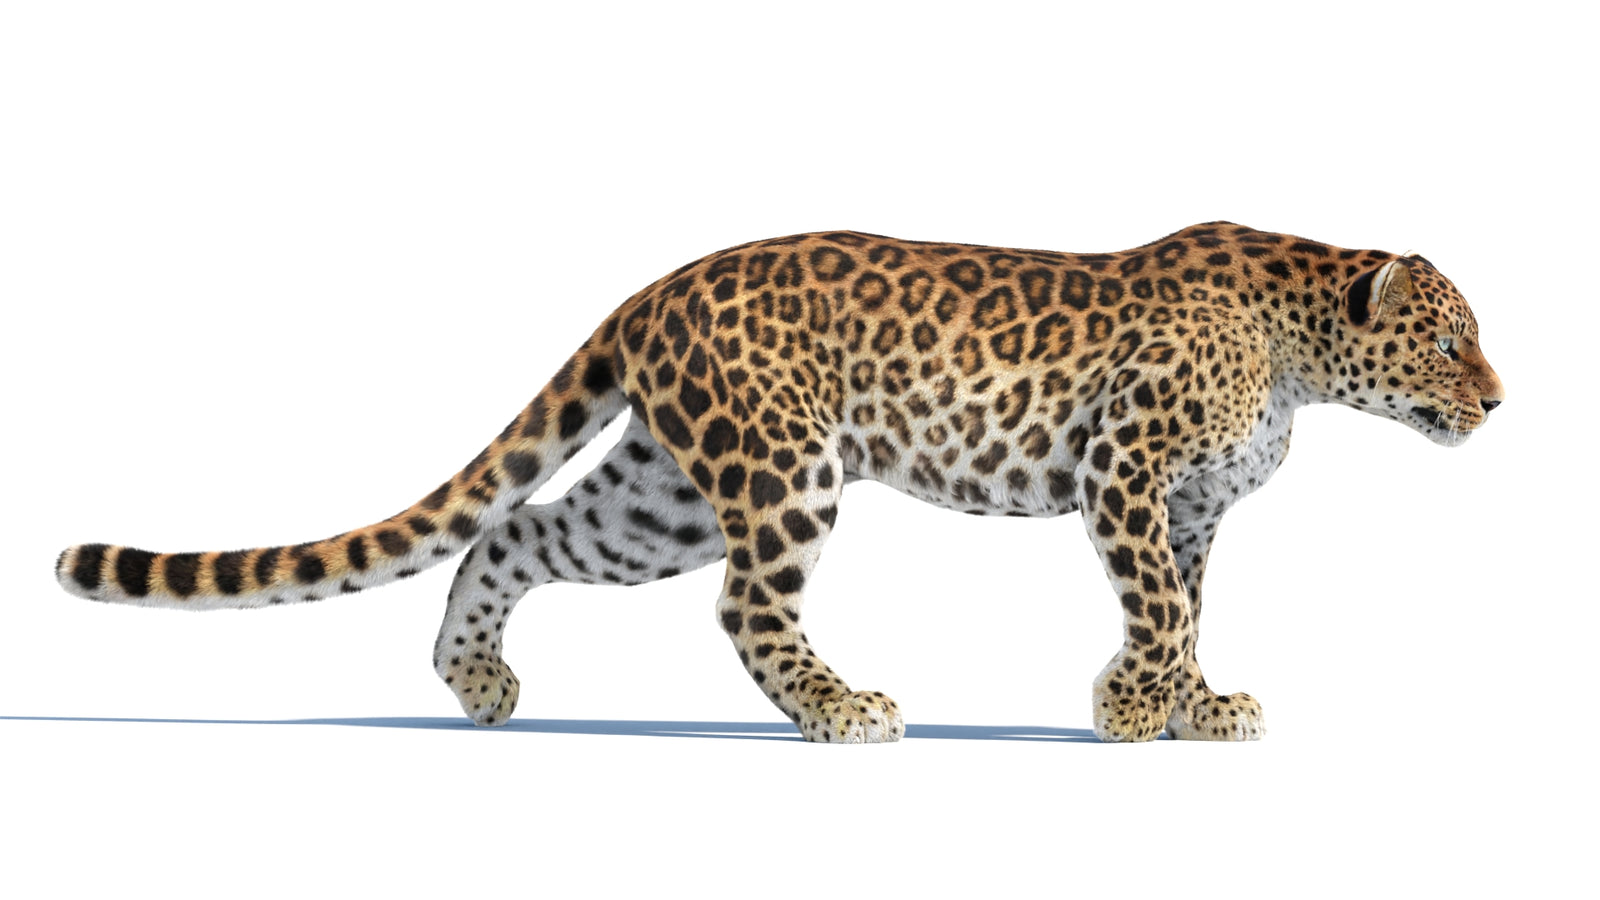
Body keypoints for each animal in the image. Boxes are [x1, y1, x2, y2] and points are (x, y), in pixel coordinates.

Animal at [55, 222, 1504, 743]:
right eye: (1449, 340)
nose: (1499, 399)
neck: (1301, 351)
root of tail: (656, 285)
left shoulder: (1190, 507)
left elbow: (1187, 612)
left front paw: (1195, 707)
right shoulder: (1127, 470)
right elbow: (1156, 607)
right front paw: (1133, 709)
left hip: (661, 500)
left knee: (519, 533)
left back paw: (478, 683)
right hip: (781, 467)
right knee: (747, 607)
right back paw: (843, 708)